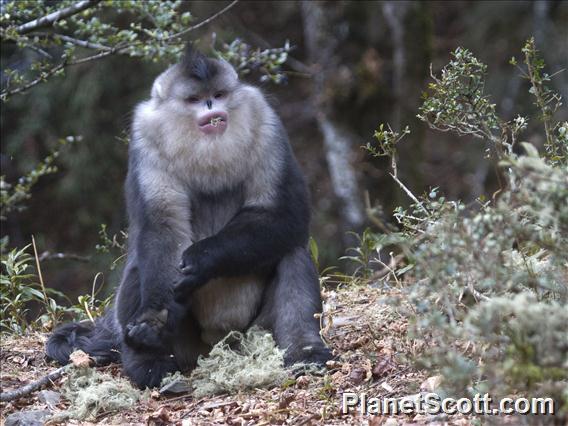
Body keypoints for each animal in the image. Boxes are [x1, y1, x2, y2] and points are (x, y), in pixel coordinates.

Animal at [48, 44, 336, 390]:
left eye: (218, 94)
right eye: (195, 99)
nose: (212, 107)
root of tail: (222, 342)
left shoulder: (266, 123)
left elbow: (284, 213)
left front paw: (202, 259)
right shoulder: (146, 138)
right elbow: (164, 227)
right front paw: (152, 326)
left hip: (255, 332)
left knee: (291, 251)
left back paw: (306, 352)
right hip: (188, 346)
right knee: (139, 267)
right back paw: (150, 363)